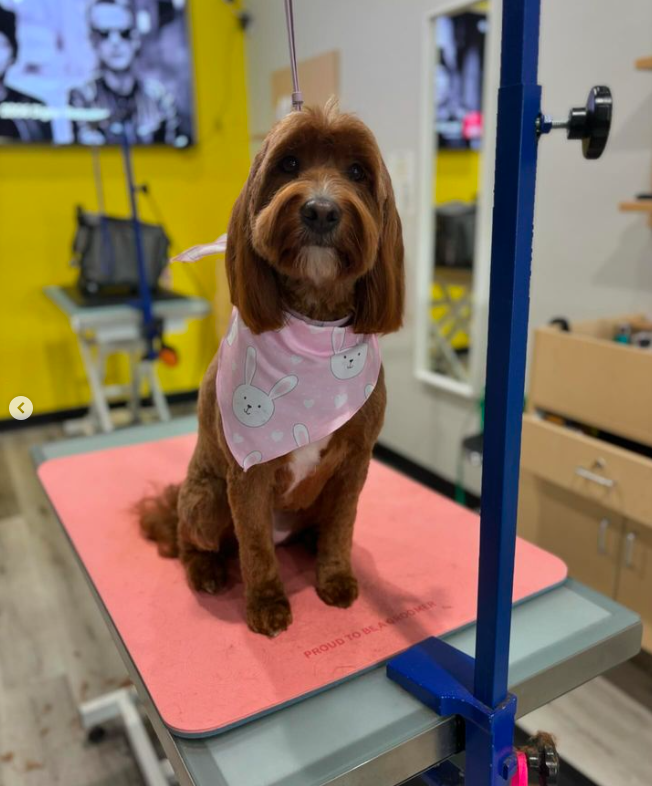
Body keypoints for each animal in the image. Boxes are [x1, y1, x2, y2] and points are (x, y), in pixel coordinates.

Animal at [136, 99, 402, 636]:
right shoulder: (247, 477)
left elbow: (342, 527)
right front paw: (265, 603)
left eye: (358, 172)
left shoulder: (355, 463)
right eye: (289, 164)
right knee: (191, 540)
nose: (321, 209)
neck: (315, 327)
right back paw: (206, 570)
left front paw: (335, 577)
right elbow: (256, 546)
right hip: (205, 499)